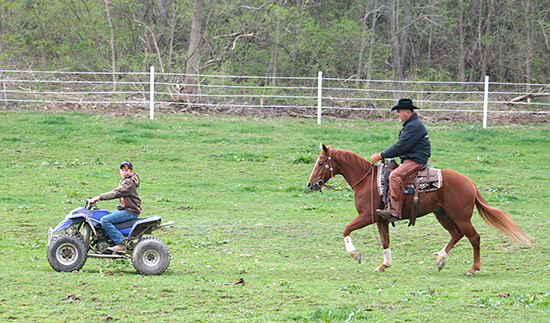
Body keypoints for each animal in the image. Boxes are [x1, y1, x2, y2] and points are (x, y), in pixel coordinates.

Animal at [308, 146, 532, 278]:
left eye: (321, 163)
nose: (310, 184)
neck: (367, 180)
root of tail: (470, 183)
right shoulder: (381, 219)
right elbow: (385, 241)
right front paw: (384, 265)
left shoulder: (366, 216)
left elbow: (346, 229)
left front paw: (355, 254)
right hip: (442, 214)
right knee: (457, 234)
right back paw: (440, 259)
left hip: (460, 216)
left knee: (474, 237)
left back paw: (473, 268)